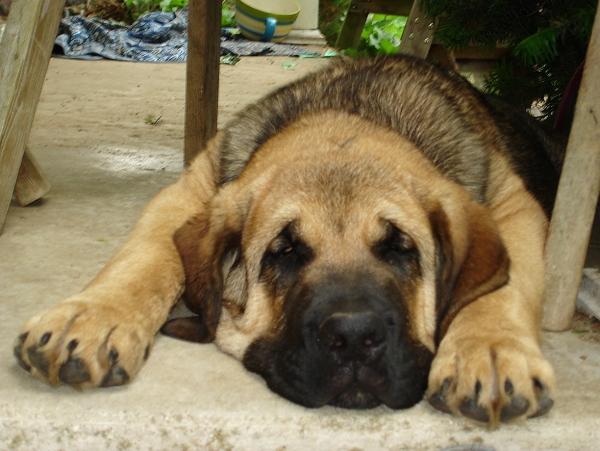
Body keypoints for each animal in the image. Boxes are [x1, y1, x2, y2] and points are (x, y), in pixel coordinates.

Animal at [12, 53, 564, 428]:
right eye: (284, 252)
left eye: (400, 247)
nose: (354, 339)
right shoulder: (190, 190)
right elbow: (144, 256)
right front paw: (91, 318)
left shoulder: (515, 206)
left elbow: (505, 286)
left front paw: (490, 351)